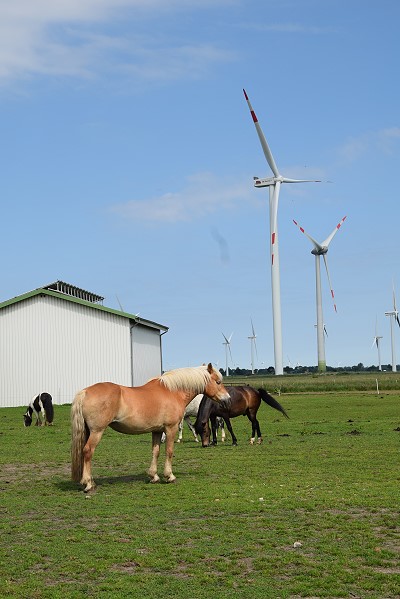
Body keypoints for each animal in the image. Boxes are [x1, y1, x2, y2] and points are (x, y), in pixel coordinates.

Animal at [70, 360, 230, 492]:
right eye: (218, 382)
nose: (227, 399)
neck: (172, 391)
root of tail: (84, 392)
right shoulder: (170, 428)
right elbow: (169, 451)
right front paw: (169, 476)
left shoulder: (157, 431)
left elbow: (155, 451)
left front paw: (154, 476)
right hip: (97, 431)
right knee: (88, 451)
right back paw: (88, 484)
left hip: (88, 431)